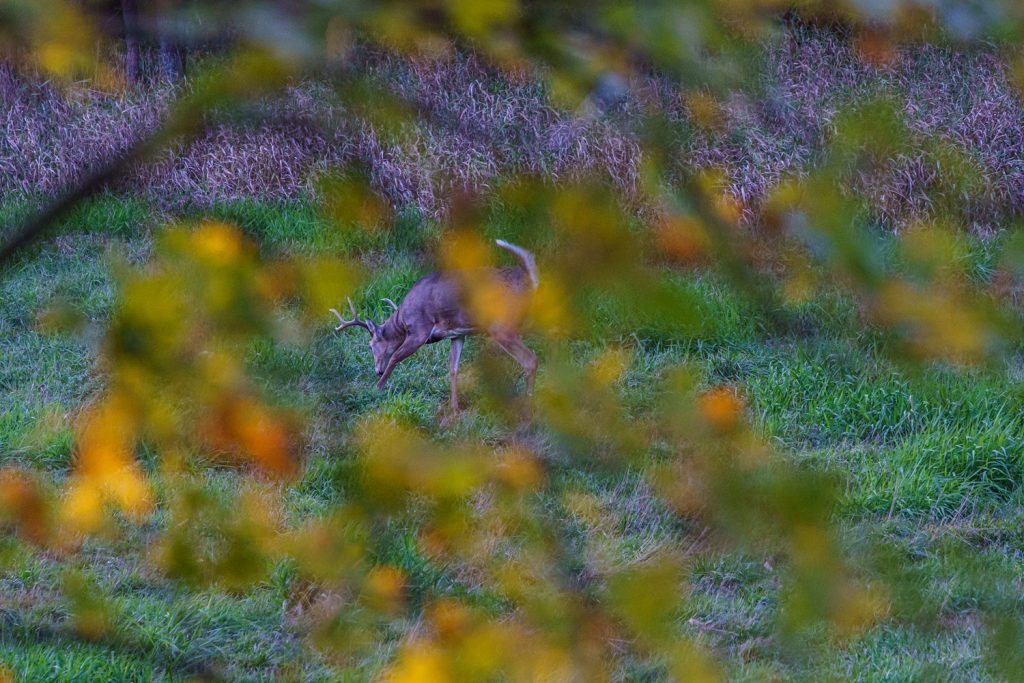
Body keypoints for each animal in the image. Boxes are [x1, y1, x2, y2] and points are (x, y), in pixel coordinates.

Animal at [331, 240, 540, 411]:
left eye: (370, 345)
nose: (377, 371)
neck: (402, 320)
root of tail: (530, 281)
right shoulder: (457, 334)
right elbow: (453, 369)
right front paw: (455, 409)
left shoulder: (419, 330)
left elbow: (396, 357)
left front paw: (377, 389)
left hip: (501, 326)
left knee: (531, 359)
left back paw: (528, 407)